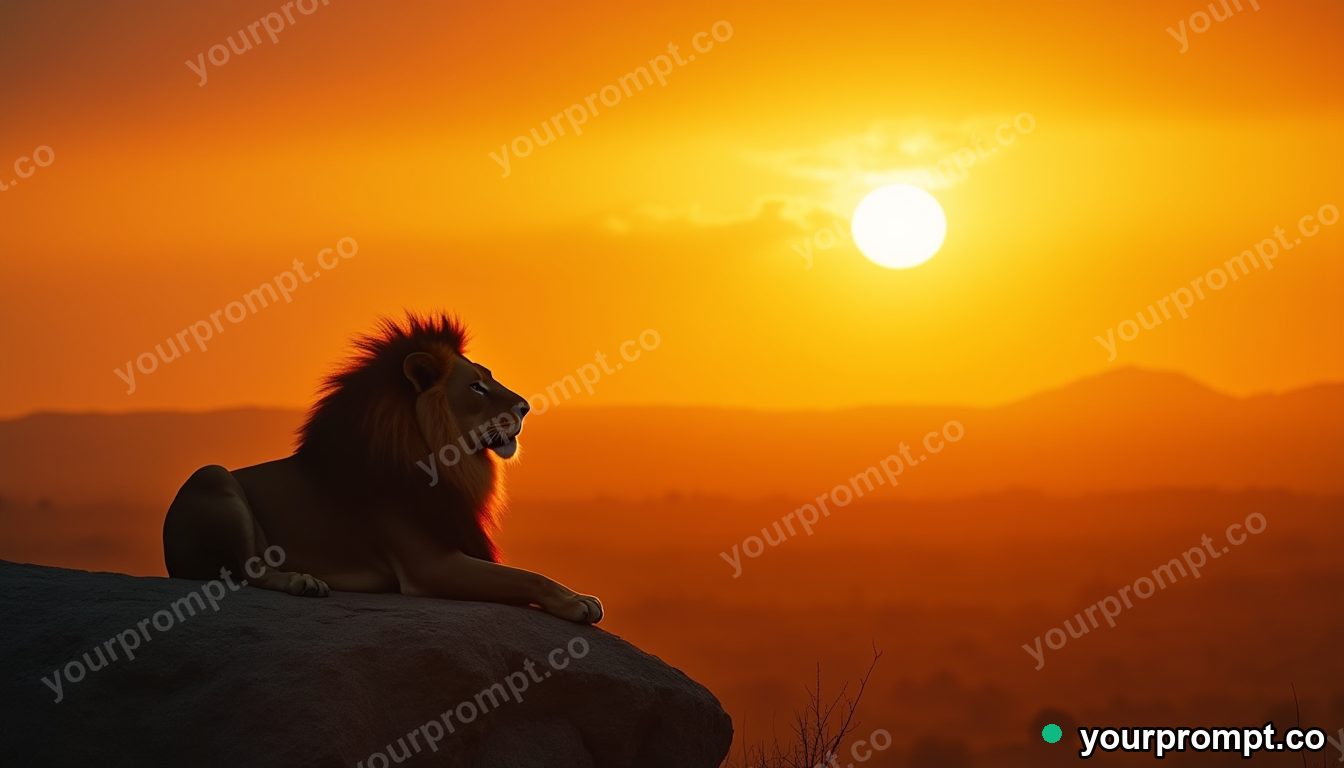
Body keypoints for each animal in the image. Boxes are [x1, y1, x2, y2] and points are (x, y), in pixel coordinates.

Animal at [162, 313, 603, 623]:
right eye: (476, 386)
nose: (525, 406)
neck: (449, 461)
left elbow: (522, 574)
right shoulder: (429, 566)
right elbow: (526, 575)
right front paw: (579, 601)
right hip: (212, 474)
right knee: (247, 572)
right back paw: (302, 581)